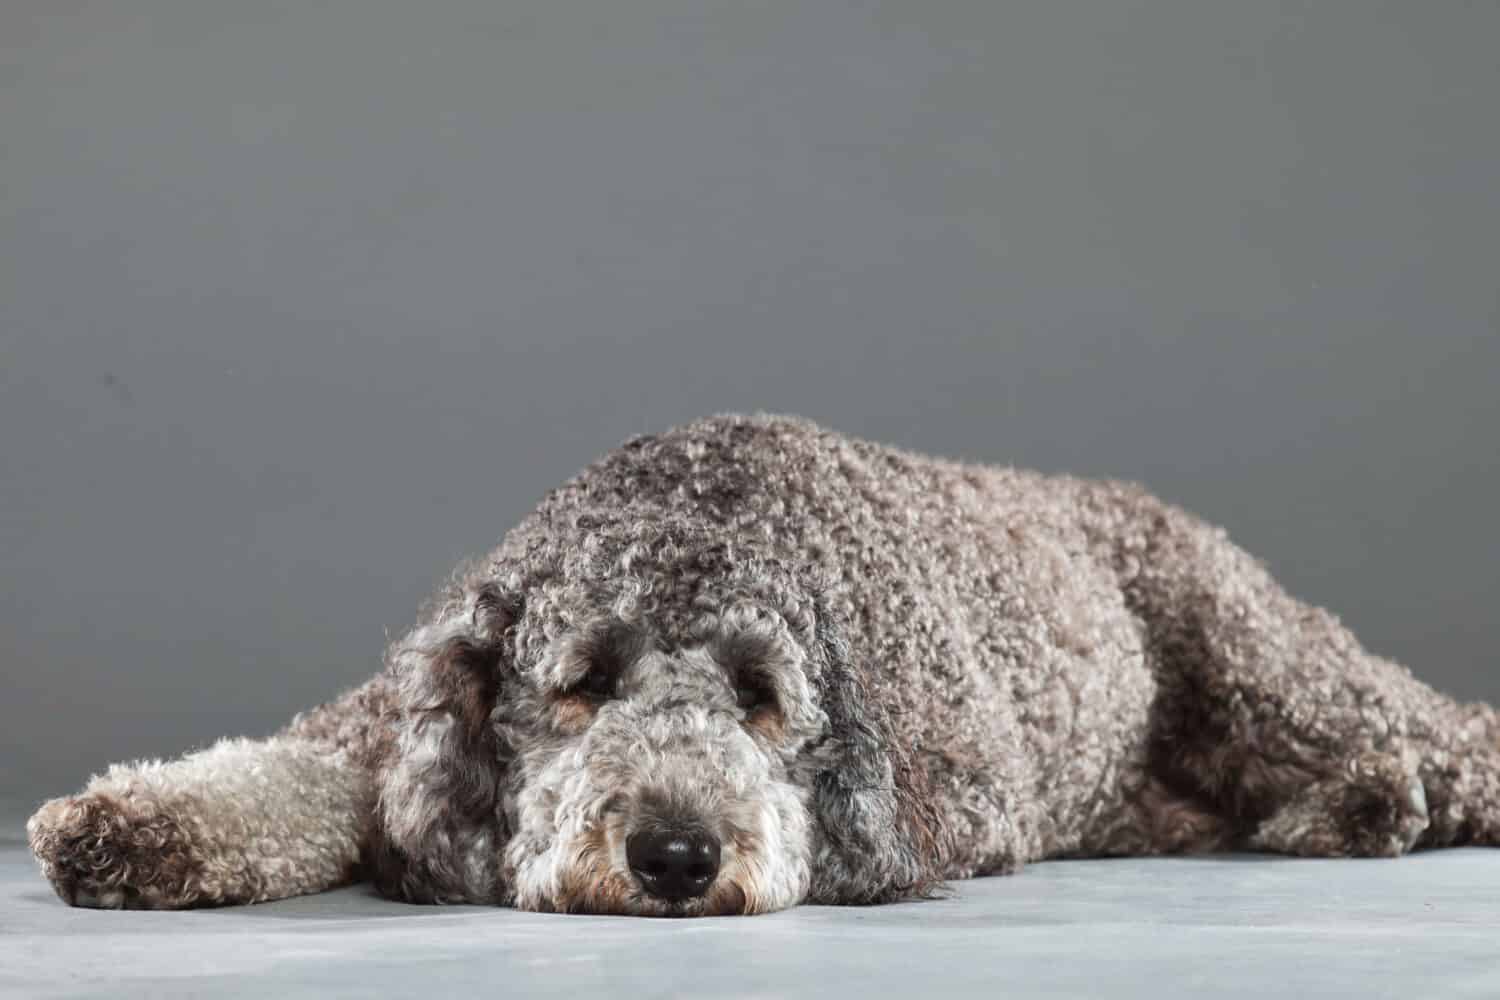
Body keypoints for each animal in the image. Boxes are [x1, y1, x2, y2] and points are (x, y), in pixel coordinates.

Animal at [26, 413, 1500, 917]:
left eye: (761, 698)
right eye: (581, 678)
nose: (677, 856)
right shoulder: (388, 727)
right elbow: (279, 773)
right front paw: (135, 824)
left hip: (1257, 654)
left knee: (1440, 729)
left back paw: (1381, 796)